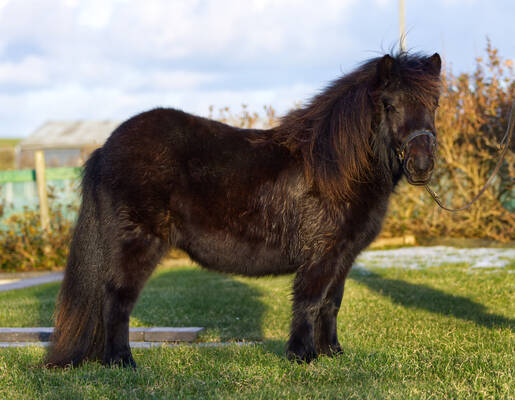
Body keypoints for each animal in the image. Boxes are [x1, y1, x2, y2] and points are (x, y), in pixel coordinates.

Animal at [46, 52, 444, 368]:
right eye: (389, 105)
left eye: (435, 104)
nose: (422, 164)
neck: (334, 169)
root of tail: (106, 149)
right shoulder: (321, 256)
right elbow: (310, 302)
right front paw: (302, 356)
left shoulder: (343, 257)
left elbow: (331, 304)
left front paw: (332, 353)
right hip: (137, 244)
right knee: (117, 300)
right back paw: (122, 362)